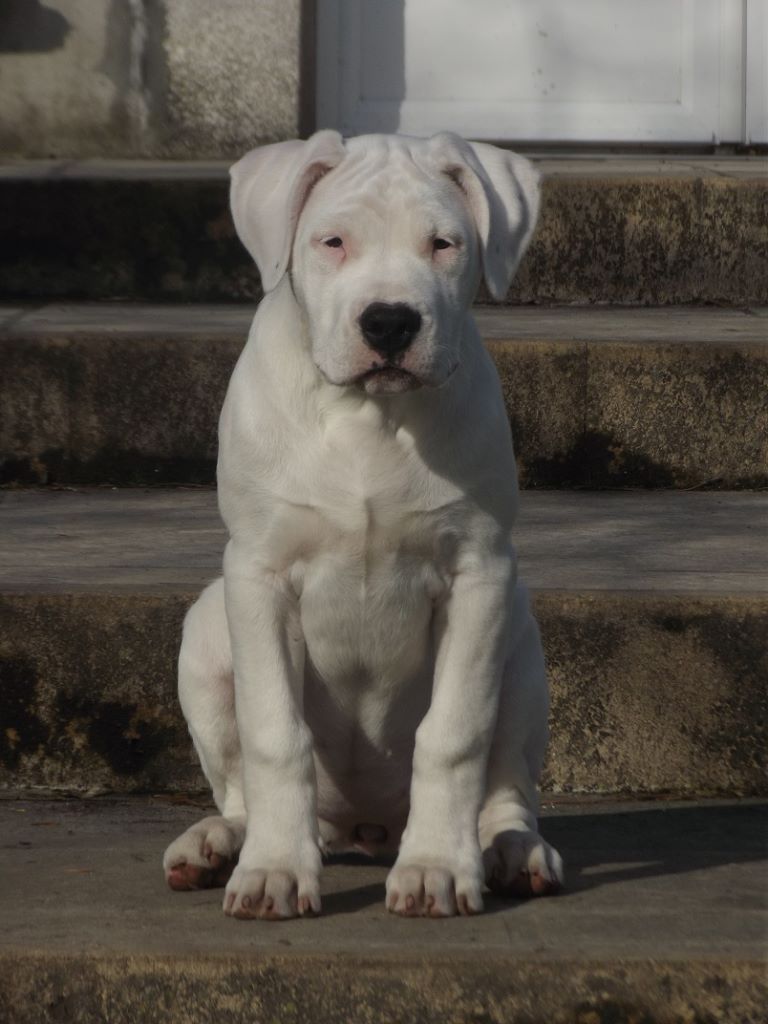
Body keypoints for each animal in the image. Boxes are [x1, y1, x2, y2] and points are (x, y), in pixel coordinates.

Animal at [162, 131, 563, 919]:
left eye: (443, 244)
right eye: (333, 242)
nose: (389, 321)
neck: (369, 416)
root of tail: (365, 824)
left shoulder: (478, 573)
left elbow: (453, 734)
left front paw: (437, 867)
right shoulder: (259, 575)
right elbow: (273, 734)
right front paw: (274, 871)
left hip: (521, 649)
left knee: (506, 783)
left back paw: (509, 849)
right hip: (206, 633)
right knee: (239, 787)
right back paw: (219, 843)